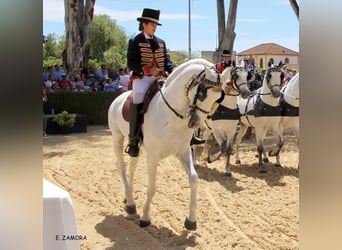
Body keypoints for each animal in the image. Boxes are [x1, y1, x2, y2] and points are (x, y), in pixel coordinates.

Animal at [108, 58, 223, 230]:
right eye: (202, 94)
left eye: (218, 98)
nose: (195, 123)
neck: (172, 115)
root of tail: (118, 99)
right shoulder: (153, 157)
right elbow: (152, 188)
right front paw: (145, 217)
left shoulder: (183, 152)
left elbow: (194, 179)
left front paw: (191, 220)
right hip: (117, 138)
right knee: (121, 167)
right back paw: (130, 203)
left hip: (138, 149)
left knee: (131, 168)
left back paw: (128, 198)